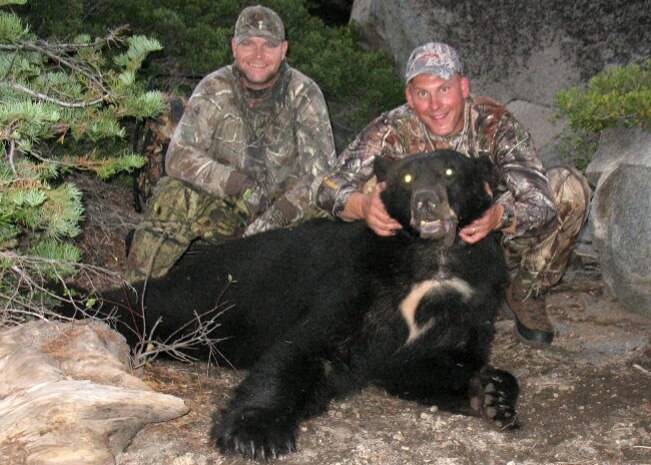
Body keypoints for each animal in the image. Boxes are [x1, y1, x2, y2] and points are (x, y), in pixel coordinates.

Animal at [74, 149, 519, 460]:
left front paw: (491, 394)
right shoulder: (361, 280)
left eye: (450, 172)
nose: (427, 201)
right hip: (213, 294)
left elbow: (423, 363)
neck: (432, 260)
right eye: (408, 177)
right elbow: (307, 346)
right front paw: (254, 434)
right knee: (153, 305)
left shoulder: (473, 298)